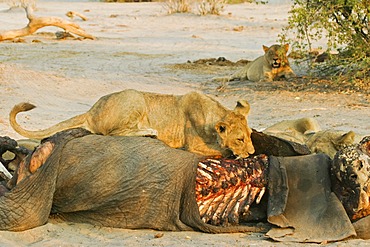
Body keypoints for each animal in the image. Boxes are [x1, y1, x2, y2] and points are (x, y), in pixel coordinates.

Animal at [10, 89, 256, 157]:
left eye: (249, 136)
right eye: (240, 139)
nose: (252, 152)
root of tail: (92, 110)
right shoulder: (193, 145)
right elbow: (222, 151)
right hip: (136, 97)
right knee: (113, 133)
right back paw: (150, 131)